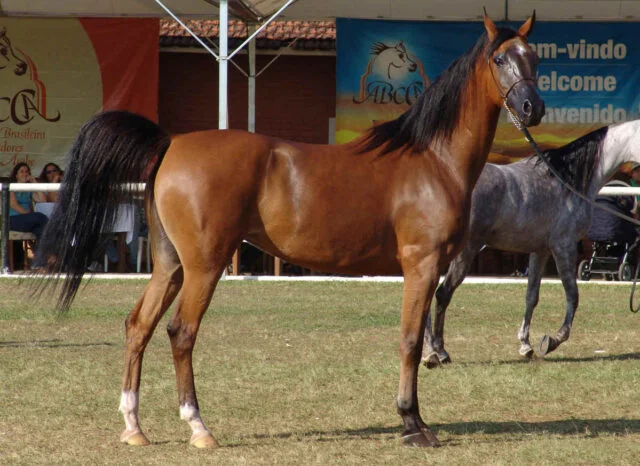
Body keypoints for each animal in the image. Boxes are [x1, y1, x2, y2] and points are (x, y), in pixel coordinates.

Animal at [36, 13, 543, 449]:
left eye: (534, 57)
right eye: (500, 59)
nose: (531, 107)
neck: (430, 160)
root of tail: (171, 143)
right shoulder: (422, 265)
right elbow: (411, 340)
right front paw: (412, 424)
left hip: (169, 265)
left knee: (139, 325)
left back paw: (134, 427)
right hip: (204, 266)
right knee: (181, 332)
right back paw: (199, 428)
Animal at [422, 119, 640, 369]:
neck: (567, 181)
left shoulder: (539, 251)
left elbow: (531, 296)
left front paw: (525, 345)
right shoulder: (563, 247)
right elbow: (572, 295)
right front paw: (552, 340)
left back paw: (429, 351)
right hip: (464, 252)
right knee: (442, 294)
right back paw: (439, 351)